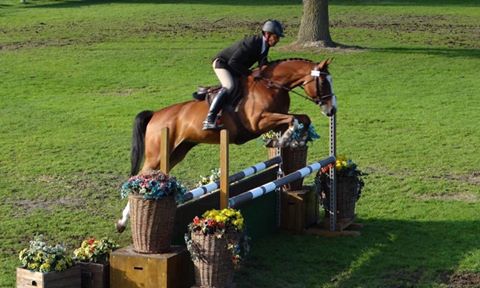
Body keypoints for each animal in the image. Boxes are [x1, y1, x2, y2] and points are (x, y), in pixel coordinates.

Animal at [115, 58, 338, 232]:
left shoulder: (276, 118)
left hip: (177, 152)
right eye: (323, 82)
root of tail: (155, 115)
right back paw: (123, 221)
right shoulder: (259, 121)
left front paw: (291, 139)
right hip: (157, 154)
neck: (272, 85)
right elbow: (293, 120)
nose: (332, 110)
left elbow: (302, 118)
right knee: (139, 176)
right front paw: (284, 139)